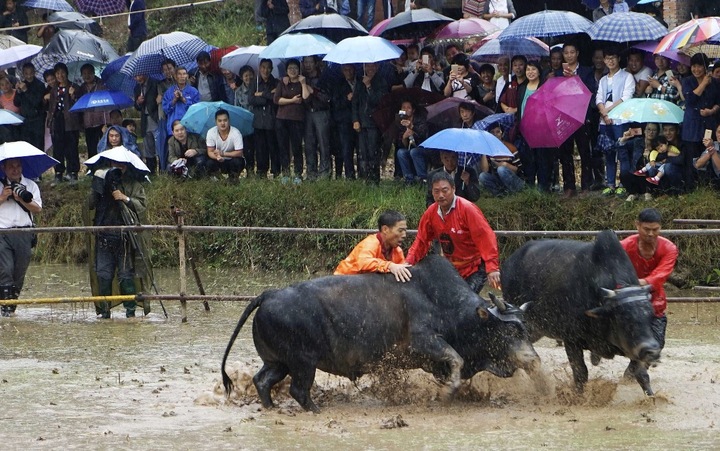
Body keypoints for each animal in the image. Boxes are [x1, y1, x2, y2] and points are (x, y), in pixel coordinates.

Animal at [222, 256, 536, 412]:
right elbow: (455, 358)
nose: (533, 359)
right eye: (509, 329)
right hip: (303, 363)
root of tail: (268, 294)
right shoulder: (424, 341)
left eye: (524, 328)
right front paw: (448, 392)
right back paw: (315, 409)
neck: (445, 303)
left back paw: (271, 407)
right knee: (299, 390)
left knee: (262, 381)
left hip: (279, 362)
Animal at [500, 231, 660, 398]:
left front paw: (651, 398)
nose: (652, 351)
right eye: (625, 318)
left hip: (536, 330)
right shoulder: (571, 341)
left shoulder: (634, 348)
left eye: (651, 316)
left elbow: (641, 373)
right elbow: (581, 373)